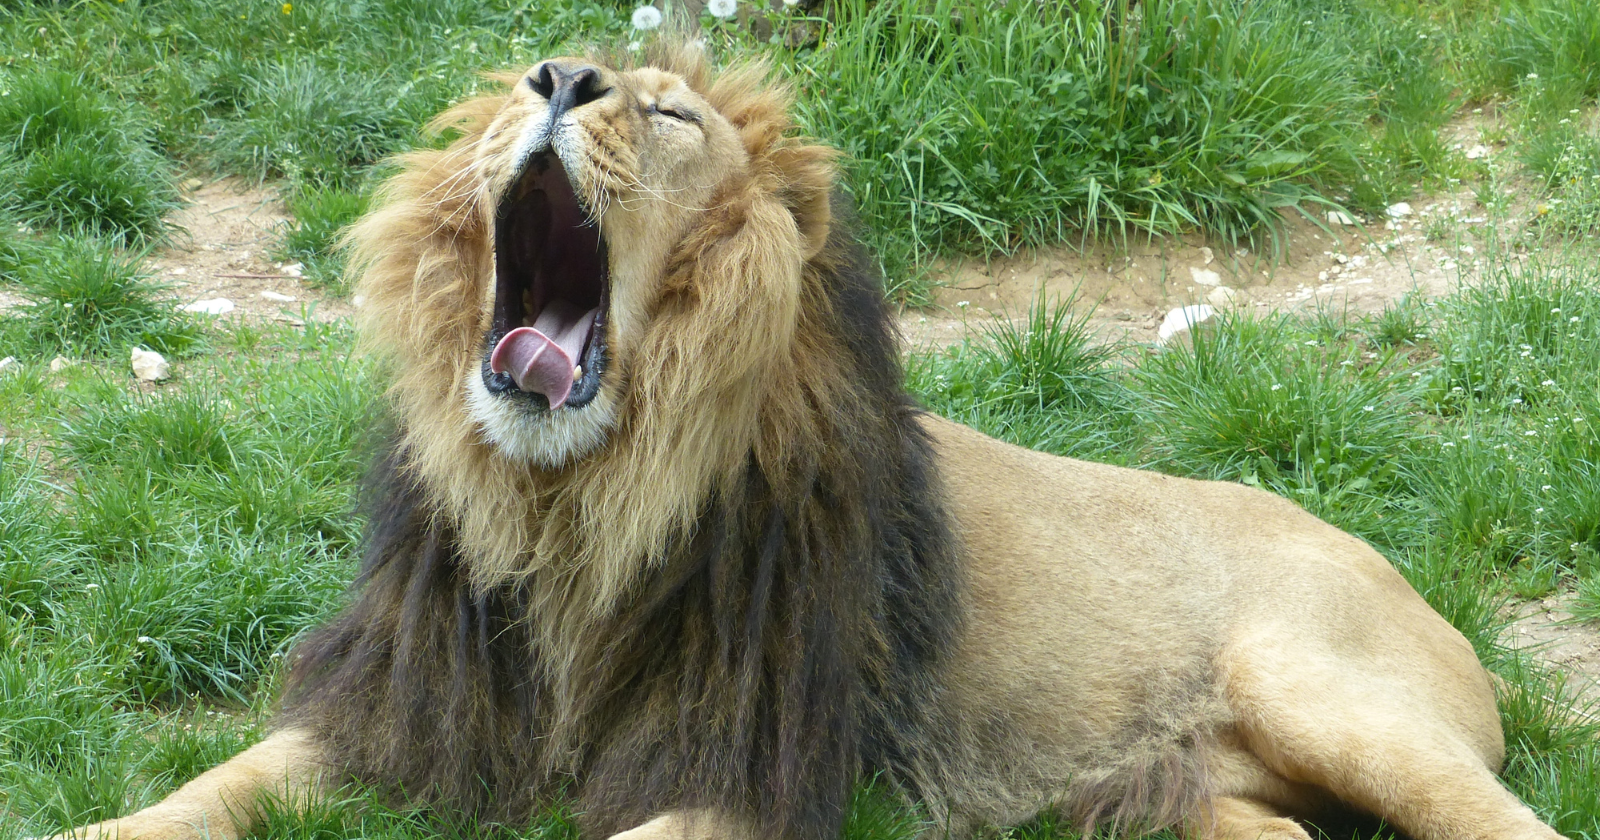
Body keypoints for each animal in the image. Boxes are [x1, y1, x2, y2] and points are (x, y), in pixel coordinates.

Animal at [47, 45, 1567, 840]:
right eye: (525, 79)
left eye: (665, 111)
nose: (562, 75)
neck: (571, 510)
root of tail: (1391, 564)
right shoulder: (410, 705)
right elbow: (208, 789)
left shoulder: (757, 768)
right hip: (1173, 803)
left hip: (1338, 700)